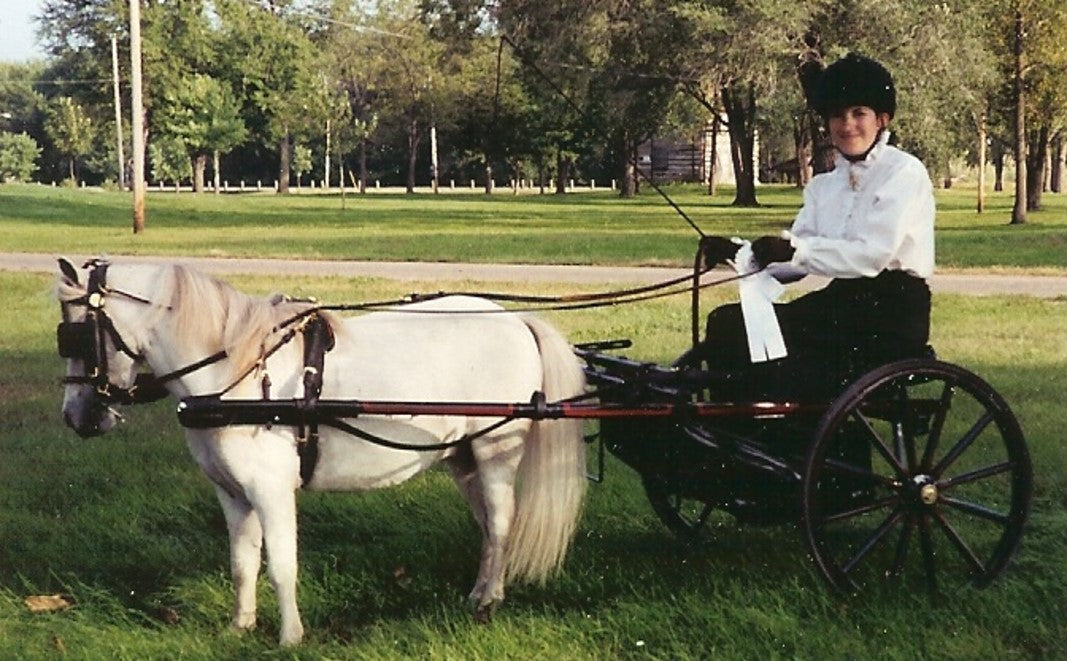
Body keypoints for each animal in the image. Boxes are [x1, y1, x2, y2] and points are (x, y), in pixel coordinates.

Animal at [55, 258, 587, 646]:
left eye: (78, 335)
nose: (75, 416)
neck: (240, 375)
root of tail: (517, 320)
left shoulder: (271, 491)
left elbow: (281, 565)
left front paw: (290, 637)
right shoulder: (232, 494)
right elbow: (242, 563)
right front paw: (240, 626)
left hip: (497, 452)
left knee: (499, 523)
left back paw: (488, 601)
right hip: (463, 457)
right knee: (487, 526)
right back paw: (480, 591)